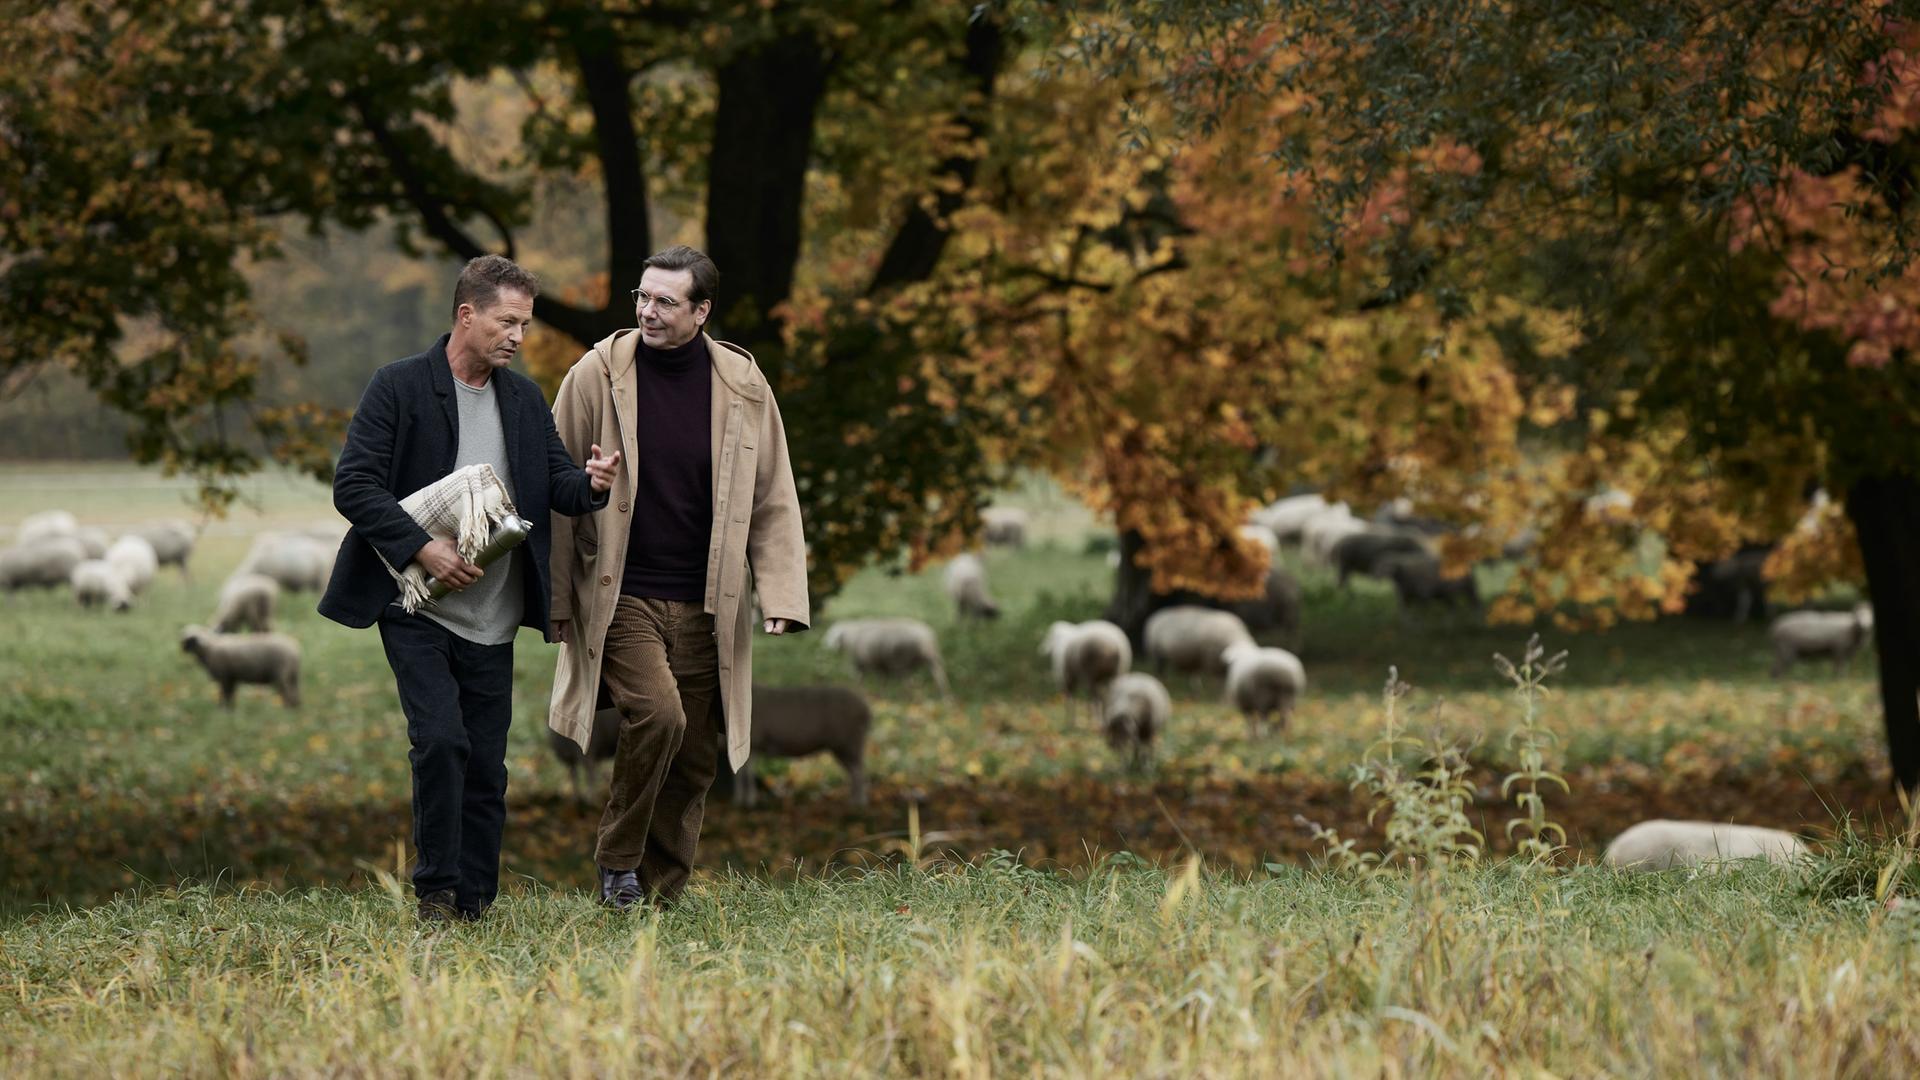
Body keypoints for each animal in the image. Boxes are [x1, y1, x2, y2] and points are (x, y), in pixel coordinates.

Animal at [733, 684, 879, 803]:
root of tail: (867, 710)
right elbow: (741, 774)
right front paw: (740, 799)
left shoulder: (755, 743)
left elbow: (746, 774)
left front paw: (748, 800)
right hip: (845, 745)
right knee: (855, 772)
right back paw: (855, 800)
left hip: (849, 742)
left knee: (858, 772)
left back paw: (858, 803)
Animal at [817, 618, 952, 691]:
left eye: (830, 634)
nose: (823, 646)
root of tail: (926, 639)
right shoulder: (881, 663)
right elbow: (882, 681)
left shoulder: (865, 662)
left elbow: (861, 679)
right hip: (933, 661)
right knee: (940, 679)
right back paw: (946, 699)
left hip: (903, 661)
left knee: (909, 683)